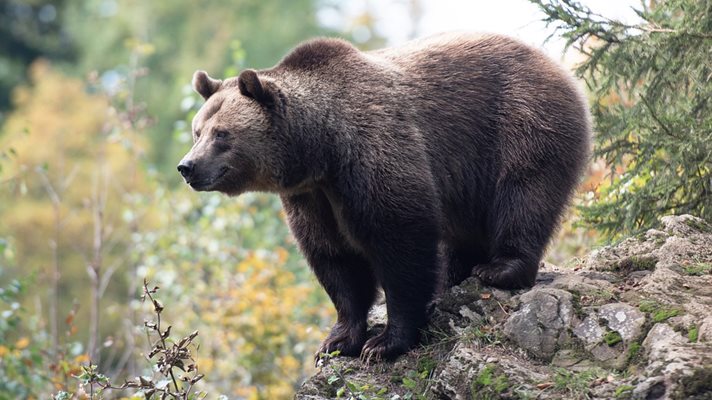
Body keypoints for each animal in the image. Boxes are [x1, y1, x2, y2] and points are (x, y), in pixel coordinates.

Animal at [181, 32, 592, 360]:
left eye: (222, 134)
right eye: (197, 131)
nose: (187, 166)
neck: (321, 150)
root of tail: (558, 65)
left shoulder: (374, 153)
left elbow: (400, 243)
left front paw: (384, 343)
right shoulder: (312, 198)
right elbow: (335, 260)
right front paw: (337, 340)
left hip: (521, 123)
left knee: (524, 195)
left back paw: (500, 268)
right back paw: (454, 274)